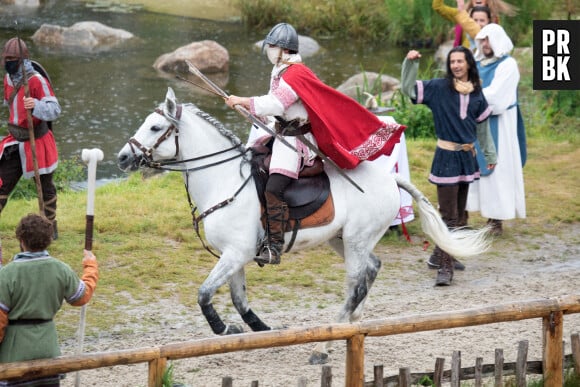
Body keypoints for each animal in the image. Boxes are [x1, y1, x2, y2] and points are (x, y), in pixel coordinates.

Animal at [118, 87, 490, 364]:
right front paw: (260, 330)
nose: (123, 157)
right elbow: (239, 300)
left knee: (356, 284)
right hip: (343, 240)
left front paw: (224, 330)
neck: (224, 179)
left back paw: (324, 345)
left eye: (155, 128)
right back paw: (353, 325)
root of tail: (390, 177)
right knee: (371, 270)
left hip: (355, 240)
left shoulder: (235, 253)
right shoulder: (235, 256)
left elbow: (204, 294)